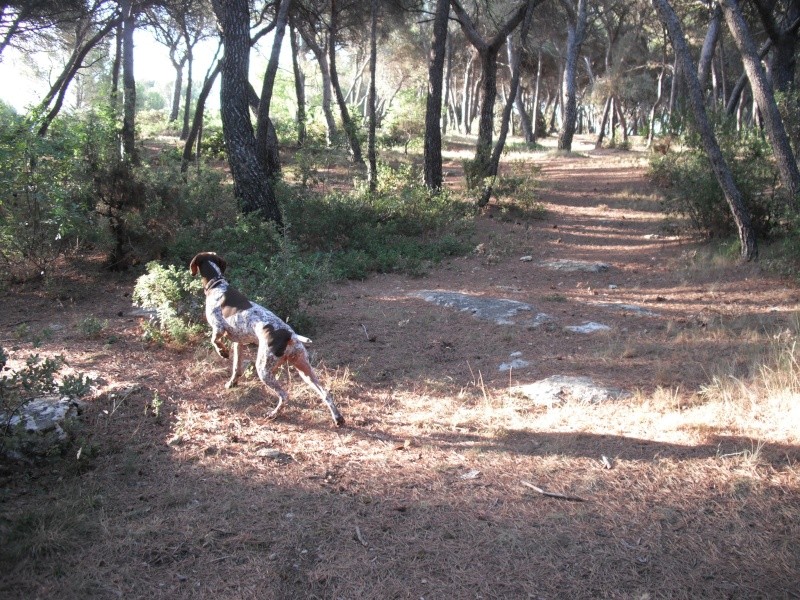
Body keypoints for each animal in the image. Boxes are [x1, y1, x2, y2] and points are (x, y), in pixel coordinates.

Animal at [192, 251, 346, 428]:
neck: (217, 284)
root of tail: (290, 335)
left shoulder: (218, 327)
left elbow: (214, 340)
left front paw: (222, 352)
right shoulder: (239, 342)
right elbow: (236, 367)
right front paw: (232, 383)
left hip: (264, 369)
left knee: (285, 395)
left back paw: (273, 414)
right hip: (304, 369)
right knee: (325, 392)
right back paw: (337, 417)